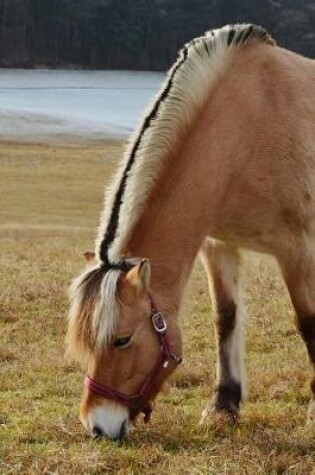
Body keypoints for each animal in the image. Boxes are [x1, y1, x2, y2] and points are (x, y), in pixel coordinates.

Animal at [66, 24, 315, 442]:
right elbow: (225, 318)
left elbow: (308, 323)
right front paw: (223, 407)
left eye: (122, 339)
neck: (248, 126)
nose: (97, 426)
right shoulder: (218, 245)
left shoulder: (295, 249)